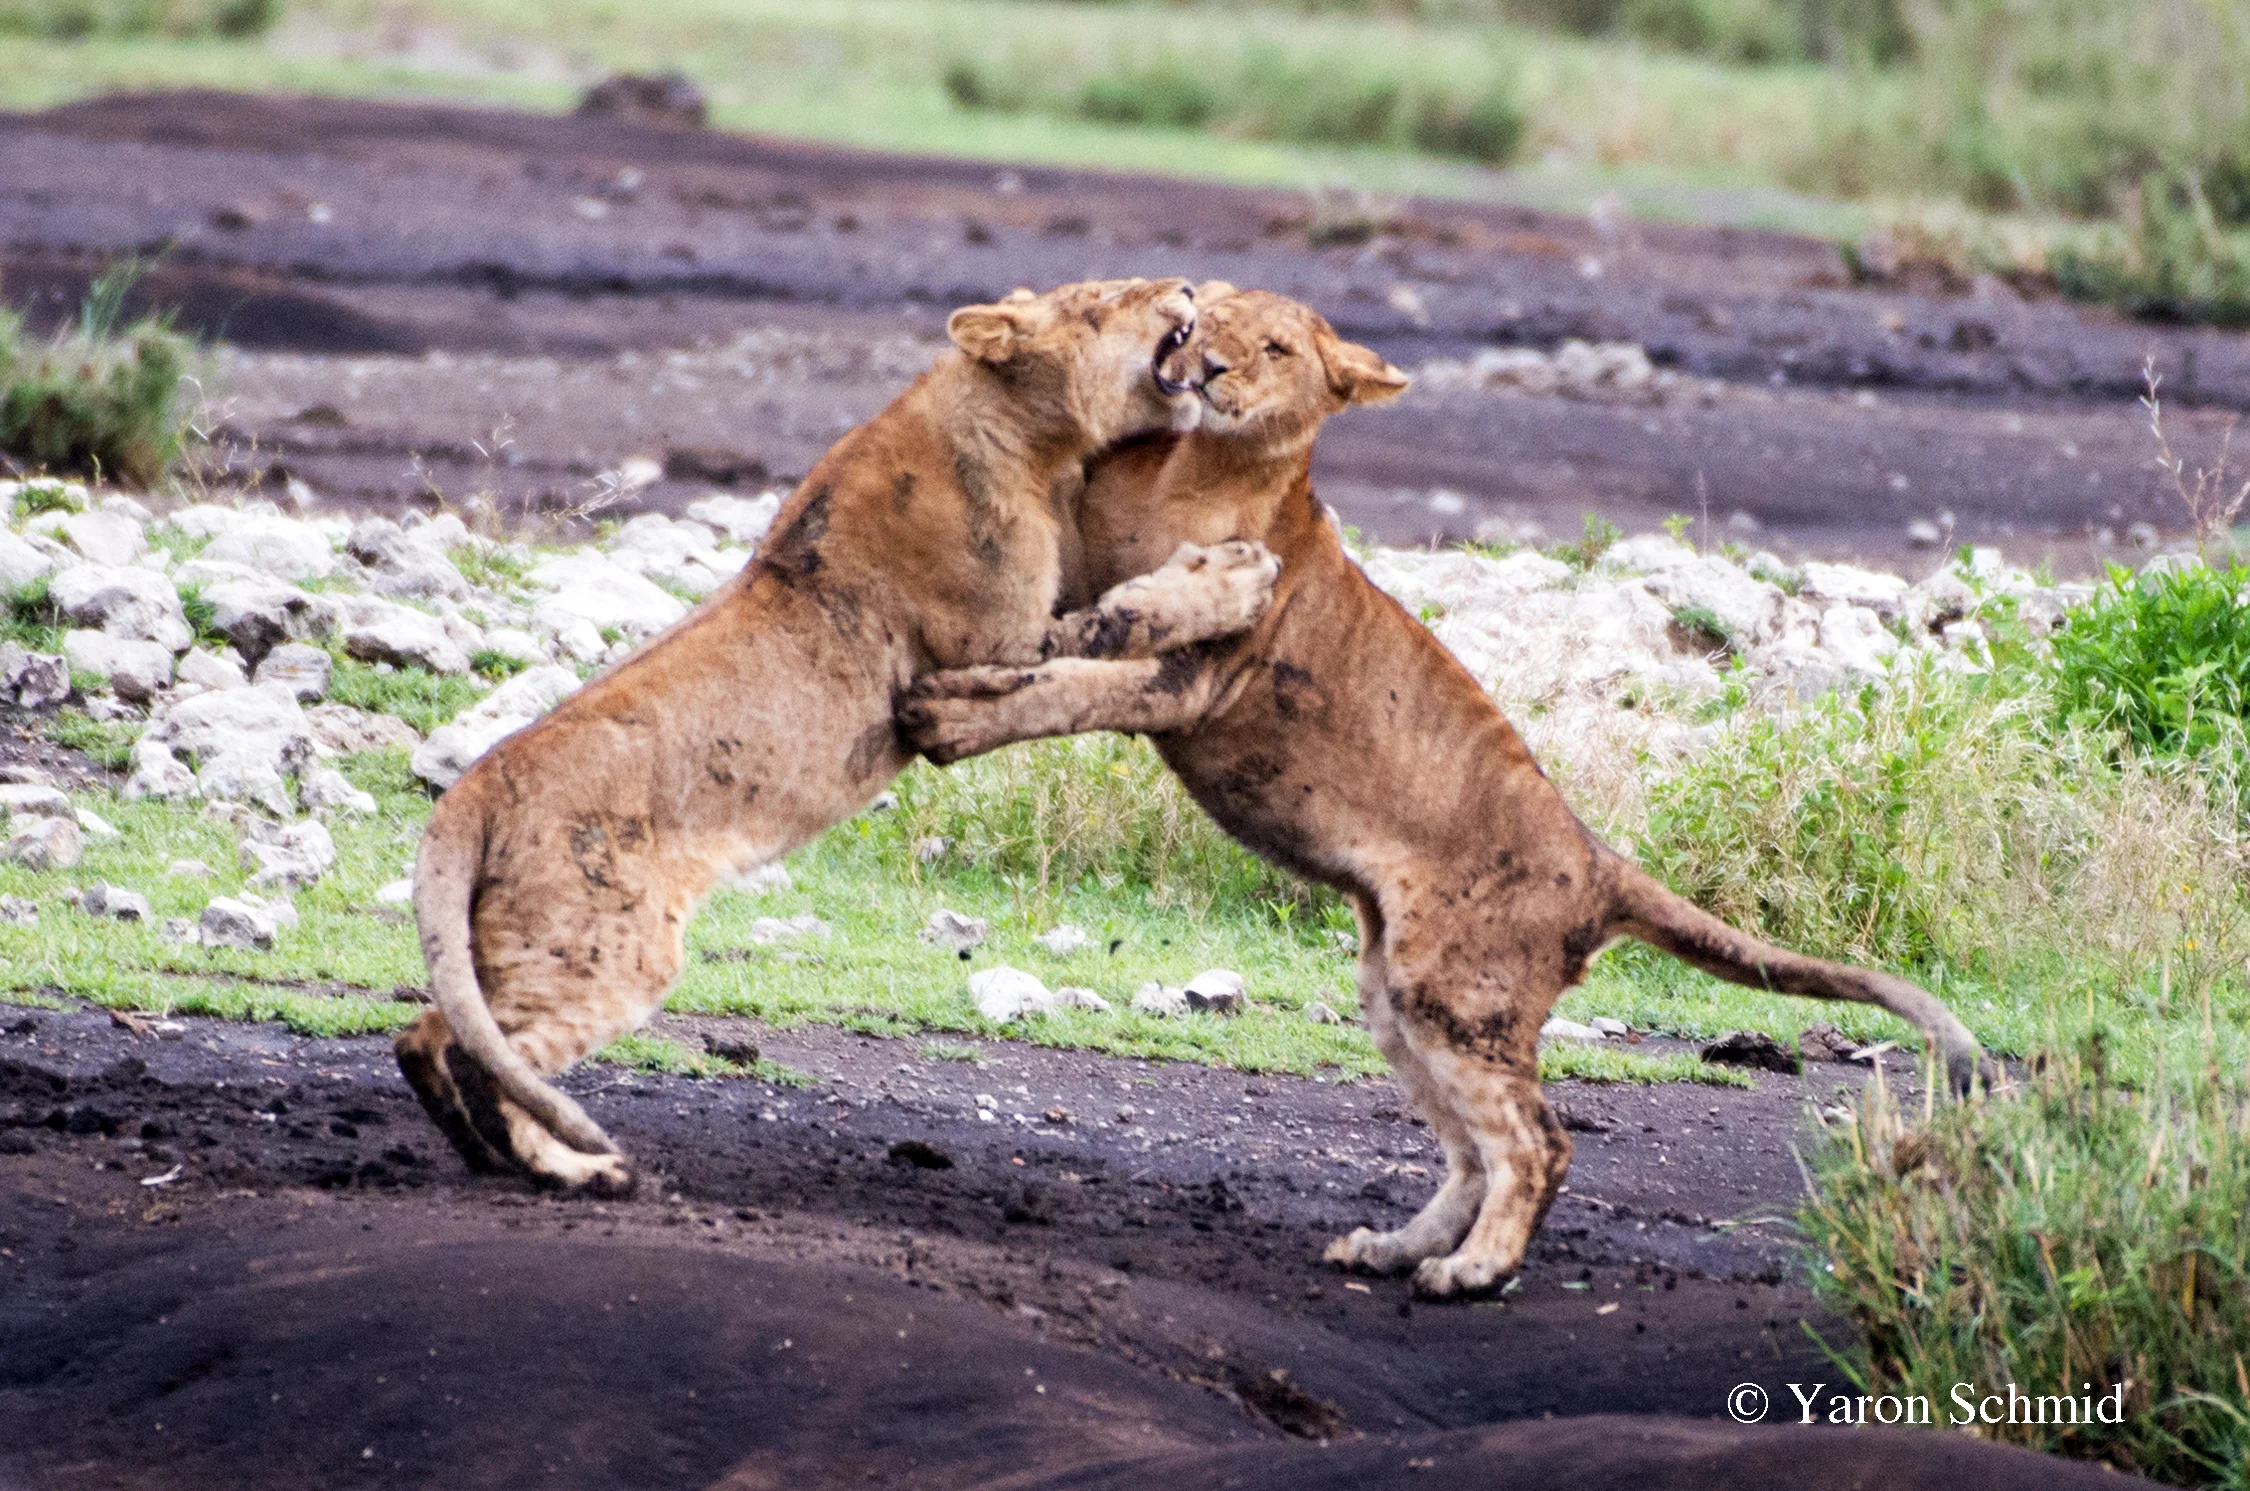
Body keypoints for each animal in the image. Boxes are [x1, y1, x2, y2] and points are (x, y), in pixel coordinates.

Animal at [399, 277, 1282, 1194]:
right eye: (1109, 299)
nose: (1184, 287)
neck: (1021, 433)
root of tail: (472, 790)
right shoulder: (994, 644)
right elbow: (1131, 613)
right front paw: (1238, 577)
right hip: (606, 946)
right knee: (487, 1057)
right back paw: (577, 1169)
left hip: (520, 943)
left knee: (430, 1035)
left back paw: (488, 1151)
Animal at [899, 289, 1985, 1298]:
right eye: (1209, 319)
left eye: (1275, 347)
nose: (1204, 366)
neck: (1197, 467)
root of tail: (1599, 863)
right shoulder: (1089, 573)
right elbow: (1058, 643)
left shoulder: (1190, 684)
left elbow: (1076, 678)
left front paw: (953, 715)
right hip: (1400, 997)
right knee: (1471, 1150)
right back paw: (1394, 1249)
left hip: (1456, 990)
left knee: (1539, 1142)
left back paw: (1473, 1272)